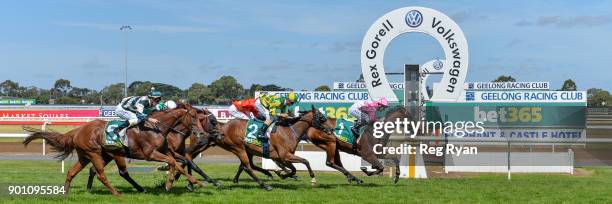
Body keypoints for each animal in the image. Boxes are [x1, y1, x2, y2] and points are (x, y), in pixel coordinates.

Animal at [24, 106, 206, 195]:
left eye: (200, 118)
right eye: (193, 117)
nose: (201, 133)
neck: (157, 128)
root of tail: (78, 130)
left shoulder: (166, 151)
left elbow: (179, 162)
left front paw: (194, 182)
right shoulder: (149, 154)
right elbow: (173, 162)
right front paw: (169, 184)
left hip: (90, 155)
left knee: (72, 172)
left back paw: (66, 193)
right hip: (96, 153)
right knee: (102, 174)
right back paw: (117, 193)